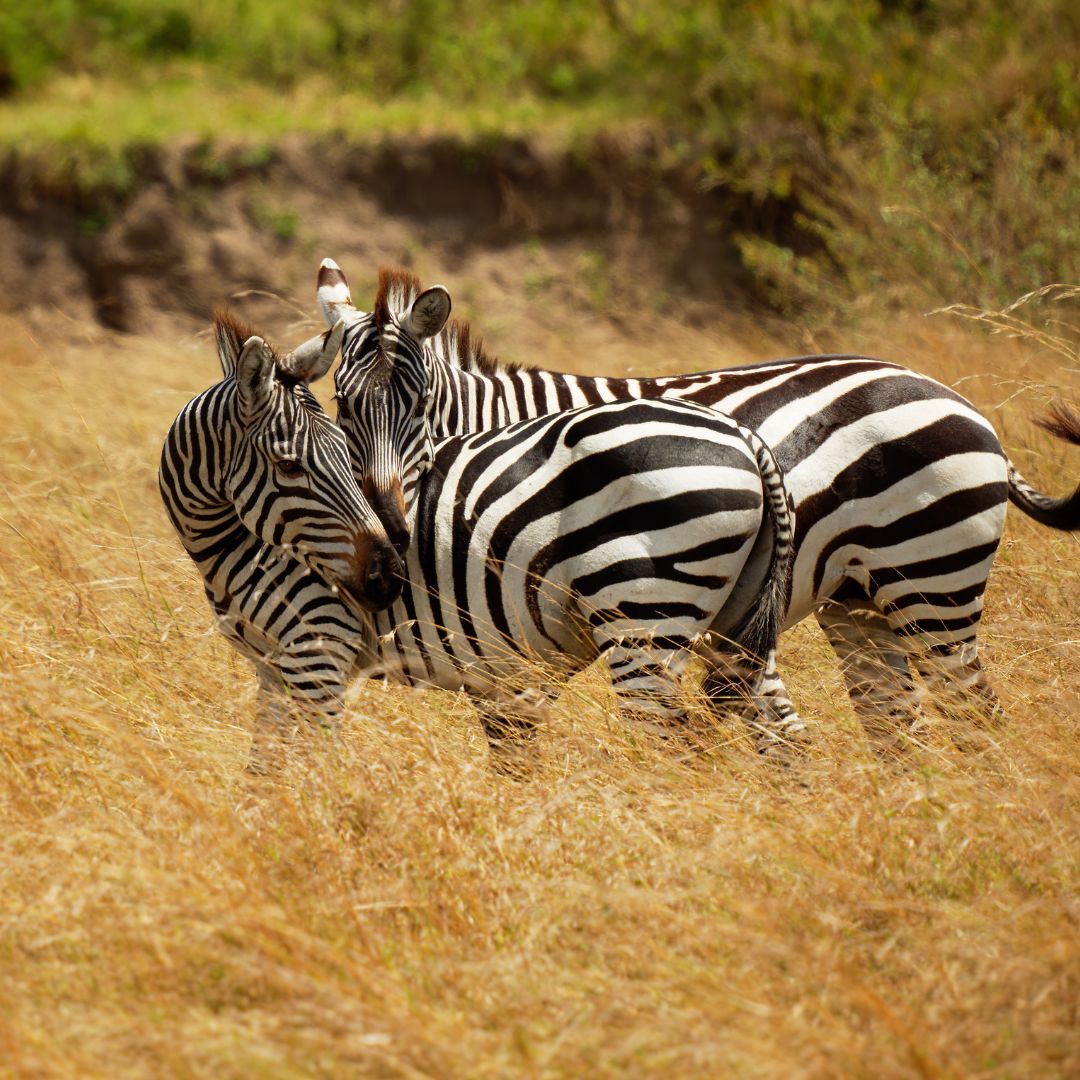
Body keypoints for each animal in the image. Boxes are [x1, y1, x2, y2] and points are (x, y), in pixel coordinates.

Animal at [158, 310, 403, 765]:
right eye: (288, 466)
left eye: (345, 451)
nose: (389, 578)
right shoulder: (273, 668)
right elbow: (264, 767)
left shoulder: (321, 649)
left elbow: (316, 770)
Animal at [320, 259, 1080, 748]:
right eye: (343, 405)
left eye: (418, 405)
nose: (387, 526)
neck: (493, 424)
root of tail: (950, 394)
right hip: (859, 599)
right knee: (900, 722)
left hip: (931, 578)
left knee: (973, 712)